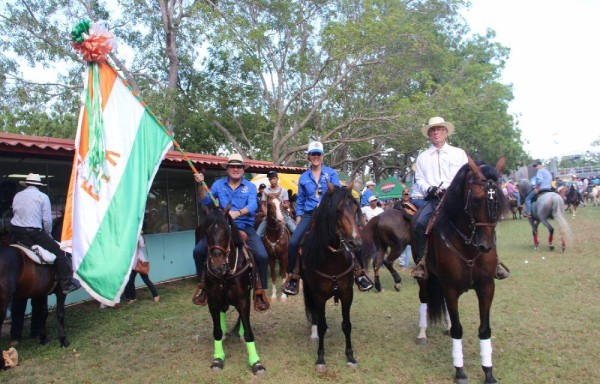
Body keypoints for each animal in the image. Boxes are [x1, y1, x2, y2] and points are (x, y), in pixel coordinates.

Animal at [198, 207, 266, 376]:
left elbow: (248, 331)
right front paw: (218, 358)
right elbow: (216, 331)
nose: (217, 264)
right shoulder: (213, 300)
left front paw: (256, 362)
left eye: (227, 231)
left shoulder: (243, 298)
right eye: (206, 232)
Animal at [300, 183, 360, 372]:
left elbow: (347, 325)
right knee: (314, 314)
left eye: (356, 208)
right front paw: (320, 358)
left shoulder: (347, 294)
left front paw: (350, 356)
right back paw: (314, 334)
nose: (355, 243)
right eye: (338, 210)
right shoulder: (318, 295)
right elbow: (320, 324)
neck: (332, 260)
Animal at [414, 157, 508, 384]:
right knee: (424, 298)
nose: (485, 246)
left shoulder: (486, 287)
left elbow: (484, 329)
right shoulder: (449, 287)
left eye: (499, 199)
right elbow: (458, 329)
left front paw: (488, 372)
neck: (468, 245)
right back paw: (422, 333)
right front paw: (460, 371)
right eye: (475, 199)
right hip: (425, 279)